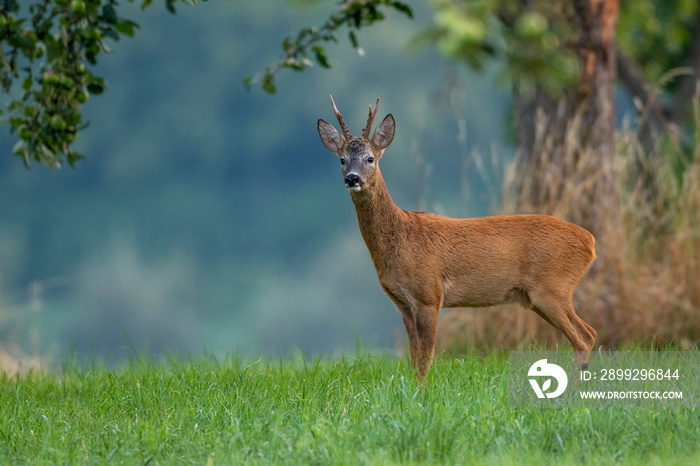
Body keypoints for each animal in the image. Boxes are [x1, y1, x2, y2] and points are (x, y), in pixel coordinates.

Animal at [318, 97, 596, 378]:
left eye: (370, 158)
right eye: (342, 159)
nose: (352, 178)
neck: (400, 238)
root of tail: (590, 241)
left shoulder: (429, 294)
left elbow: (425, 359)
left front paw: (421, 390)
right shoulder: (403, 304)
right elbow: (414, 358)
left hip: (552, 288)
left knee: (584, 337)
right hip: (537, 297)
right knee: (589, 333)